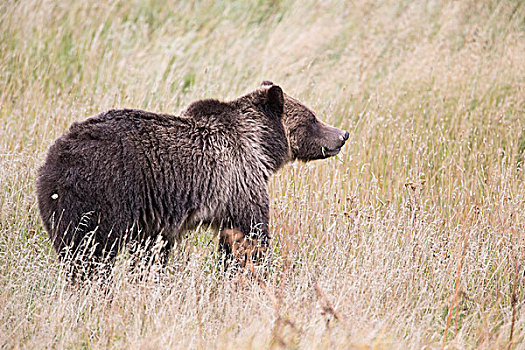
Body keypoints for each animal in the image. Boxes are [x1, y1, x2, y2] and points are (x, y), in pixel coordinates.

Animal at [36, 81, 348, 274]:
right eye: (312, 118)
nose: (342, 134)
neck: (261, 148)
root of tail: (56, 156)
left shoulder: (154, 221)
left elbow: (153, 252)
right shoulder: (239, 181)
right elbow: (250, 235)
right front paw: (250, 271)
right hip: (102, 194)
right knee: (90, 253)